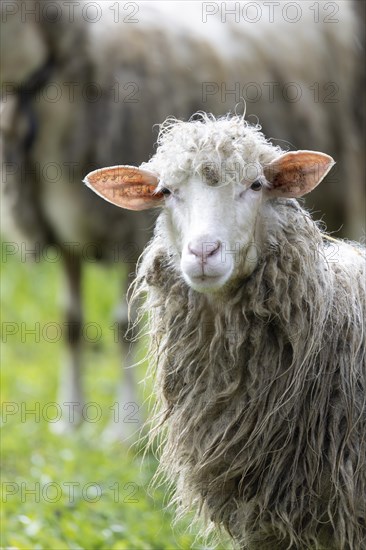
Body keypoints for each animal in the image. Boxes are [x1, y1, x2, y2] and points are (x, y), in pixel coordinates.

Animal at [0, 1, 364, 440]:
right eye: (165, 191)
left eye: (256, 185)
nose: (204, 251)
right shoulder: (67, 235)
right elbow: (70, 324)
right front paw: (70, 420)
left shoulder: (129, 237)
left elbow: (124, 327)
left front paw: (125, 427)